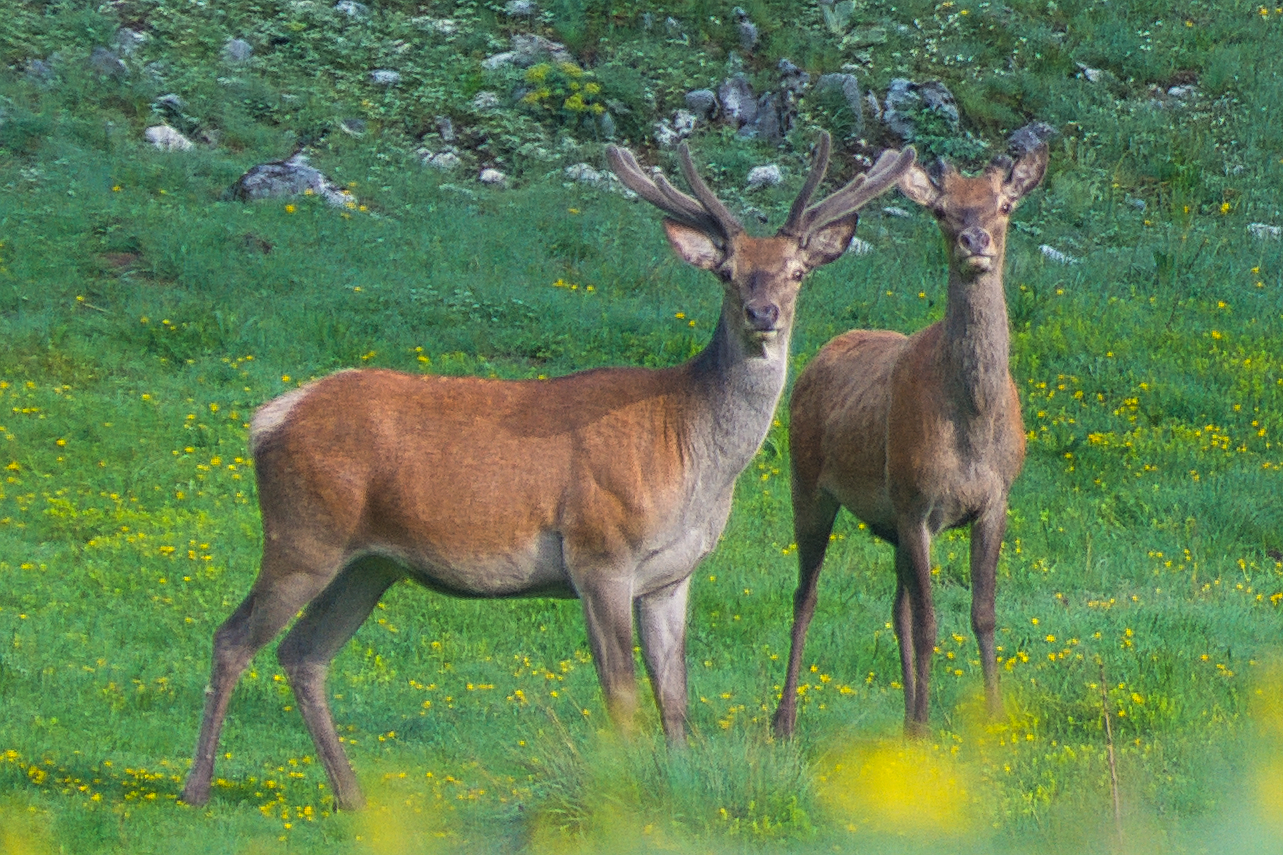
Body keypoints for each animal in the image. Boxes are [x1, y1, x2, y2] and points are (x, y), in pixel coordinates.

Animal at [178, 133, 917, 810]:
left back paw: (351, 795)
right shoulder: (598, 551)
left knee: (303, 654)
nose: (762, 315)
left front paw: (680, 787)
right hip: (303, 535)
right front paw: (628, 795)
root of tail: (268, 418)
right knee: (232, 638)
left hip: (369, 564)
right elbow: (621, 691)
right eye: (727, 271)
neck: (690, 453)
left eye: (797, 272)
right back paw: (197, 788)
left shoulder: (673, 574)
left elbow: (675, 694)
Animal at [771, 144, 1049, 739]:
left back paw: (902, 718)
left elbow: (982, 614)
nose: (975, 241)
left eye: (1005, 204)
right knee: (806, 595)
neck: (973, 423)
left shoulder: (995, 500)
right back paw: (785, 720)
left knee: (894, 608)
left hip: (889, 520)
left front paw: (991, 717)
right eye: (941, 212)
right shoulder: (917, 502)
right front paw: (924, 725)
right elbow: (929, 623)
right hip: (809, 483)